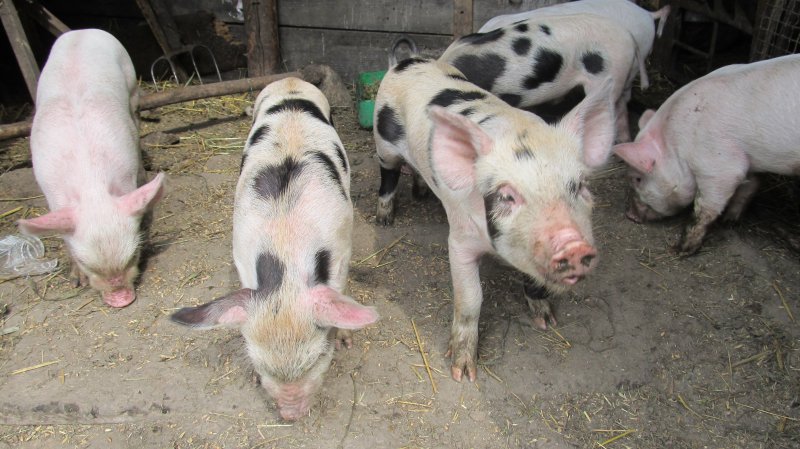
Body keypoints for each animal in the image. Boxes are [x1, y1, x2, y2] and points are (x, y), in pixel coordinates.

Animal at [17, 29, 165, 308]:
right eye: (87, 263)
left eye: (133, 255)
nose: (121, 301)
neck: (91, 184)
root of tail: (81, 31)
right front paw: (77, 281)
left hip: (131, 84)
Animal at [170, 77, 378, 421]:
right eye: (258, 365)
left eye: (317, 359)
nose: (290, 415)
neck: (285, 244)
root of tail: (290, 80)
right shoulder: (242, 256)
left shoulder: (342, 248)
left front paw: (345, 340)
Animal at [374, 48, 616, 382]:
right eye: (507, 195)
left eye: (579, 186)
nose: (573, 245)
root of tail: (407, 60)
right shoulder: (459, 241)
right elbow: (470, 299)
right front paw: (463, 372)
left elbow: (534, 280)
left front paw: (546, 320)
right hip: (383, 142)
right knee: (388, 175)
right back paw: (384, 219)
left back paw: (421, 193)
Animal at [613, 54, 800, 255]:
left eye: (637, 179)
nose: (630, 215)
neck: (678, 145)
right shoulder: (747, 159)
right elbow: (750, 185)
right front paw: (729, 222)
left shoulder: (719, 165)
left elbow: (704, 207)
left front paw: (680, 250)